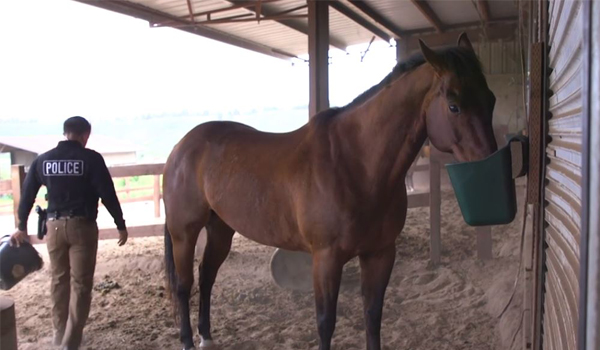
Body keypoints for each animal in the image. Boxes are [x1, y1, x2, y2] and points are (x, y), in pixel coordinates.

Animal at [163, 33, 496, 350]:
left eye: (491, 100)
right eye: (454, 106)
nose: (490, 162)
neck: (354, 164)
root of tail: (180, 147)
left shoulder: (380, 253)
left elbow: (373, 316)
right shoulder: (326, 259)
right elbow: (326, 322)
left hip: (220, 228)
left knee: (207, 276)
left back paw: (206, 337)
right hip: (184, 233)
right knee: (184, 285)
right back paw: (188, 341)